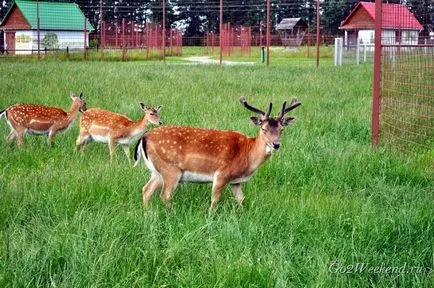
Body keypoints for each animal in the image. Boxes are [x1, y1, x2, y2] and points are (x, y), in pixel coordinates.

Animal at [134, 95, 300, 210]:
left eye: (282, 129)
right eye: (264, 129)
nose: (276, 144)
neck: (247, 154)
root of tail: (144, 137)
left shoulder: (236, 181)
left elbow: (241, 199)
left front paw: (242, 216)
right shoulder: (222, 174)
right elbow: (214, 200)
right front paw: (210, 219)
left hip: (157, 171)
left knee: (146, 190)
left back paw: (148, 214)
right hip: (171, 169)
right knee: (165, 195)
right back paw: (170, 215)